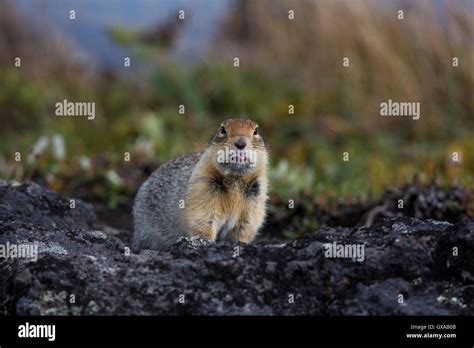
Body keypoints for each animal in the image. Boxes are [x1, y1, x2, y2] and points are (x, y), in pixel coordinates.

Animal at [131, 119, 268, 250]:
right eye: (222, 130)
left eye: (256, 131)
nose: (240, 143)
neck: (235, 178)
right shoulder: (203, 185)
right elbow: (202, 218)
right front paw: (205, 241)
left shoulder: (255, 199)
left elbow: (245, 226)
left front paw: (238, 243)